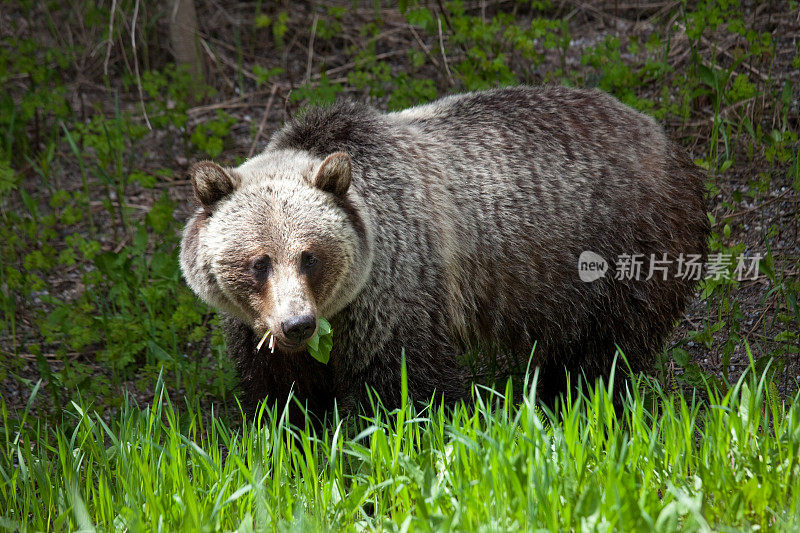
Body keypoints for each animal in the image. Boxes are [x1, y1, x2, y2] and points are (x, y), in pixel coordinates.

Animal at [180, 85, 708, 418]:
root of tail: (664, 136)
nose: (297, 324)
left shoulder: (397, 286)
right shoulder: (257, 328)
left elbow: (404, 385)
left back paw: (582, 402)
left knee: (606, 351)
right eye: (259, 262)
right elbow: (280, 393)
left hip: (621, 247)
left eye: (311, 256)